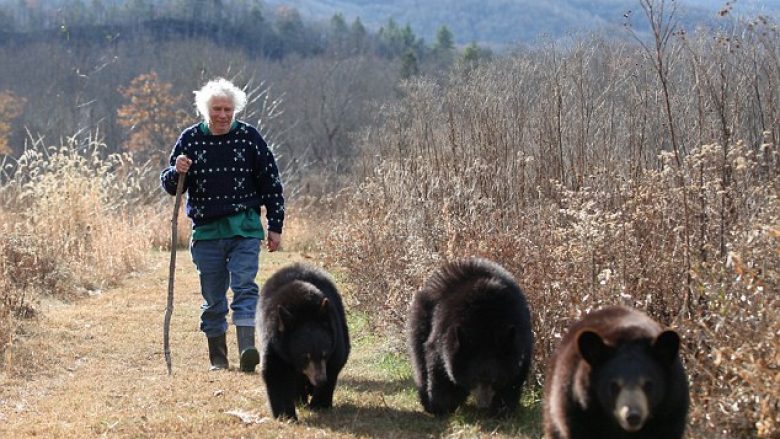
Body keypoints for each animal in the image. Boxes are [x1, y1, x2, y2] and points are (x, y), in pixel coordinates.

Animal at [258, 262, 350, 422]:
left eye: (325, 354)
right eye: (304, 356)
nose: (320, 380)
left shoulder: (335, 336)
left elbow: (334, 364)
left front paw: (319, 404)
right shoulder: (275, 344)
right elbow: (276, 373)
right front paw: (285, 415)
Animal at [408, 260, 532, 418]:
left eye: (495, 380)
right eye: (474, 378)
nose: (483, 405)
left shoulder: (520, 340)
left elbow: (514, 378)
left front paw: (502, 409)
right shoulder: (444, 335)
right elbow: (438, 367)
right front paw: (441, 406)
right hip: (422, 317)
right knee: (419, 358)